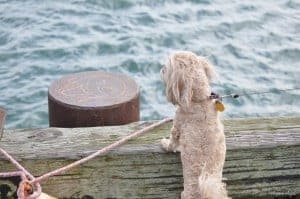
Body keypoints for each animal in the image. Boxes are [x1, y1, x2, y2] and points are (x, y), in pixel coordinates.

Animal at [162, 51, 230, 199]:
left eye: (168, 67)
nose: (161, 69)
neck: (200, 101)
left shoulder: (178, 124)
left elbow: (173, 141)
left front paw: (165, 144)